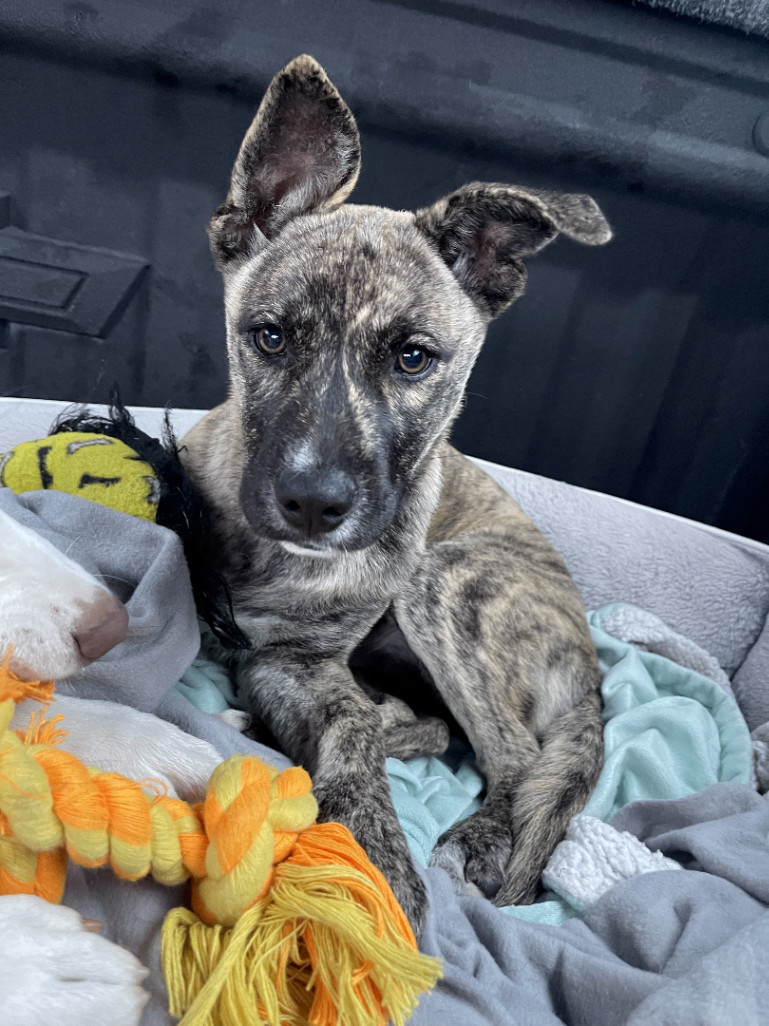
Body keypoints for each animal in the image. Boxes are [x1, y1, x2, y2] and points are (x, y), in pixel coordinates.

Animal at [182, 56, 615, 939]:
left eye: (413, 358)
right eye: (269, 336)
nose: (313, 504)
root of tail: (592, 671)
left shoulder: (301, 660)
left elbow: (348, 726)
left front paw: (374, 860)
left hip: (443, 586)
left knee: (509, 756)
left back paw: (475, 838)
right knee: (442, 729)